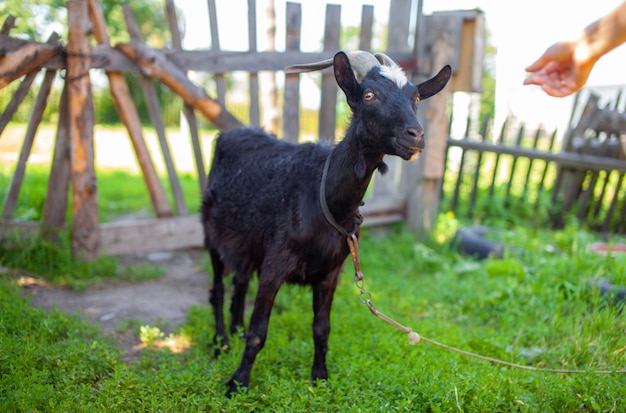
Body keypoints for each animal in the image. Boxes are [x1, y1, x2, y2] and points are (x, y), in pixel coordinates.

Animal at [201, 51, 448, 396]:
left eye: (415, 97)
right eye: (369, 95)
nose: (416, 136)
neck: (324, 198)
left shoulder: (332, 271)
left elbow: (321, 328)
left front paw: (319, 377)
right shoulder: (275, 263)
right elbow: (259, 330)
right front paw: (237, 383)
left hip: (247, 241)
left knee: (240, 282)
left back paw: (234, 330)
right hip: (212, 235)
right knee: (219, 288)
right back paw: (220, 341)